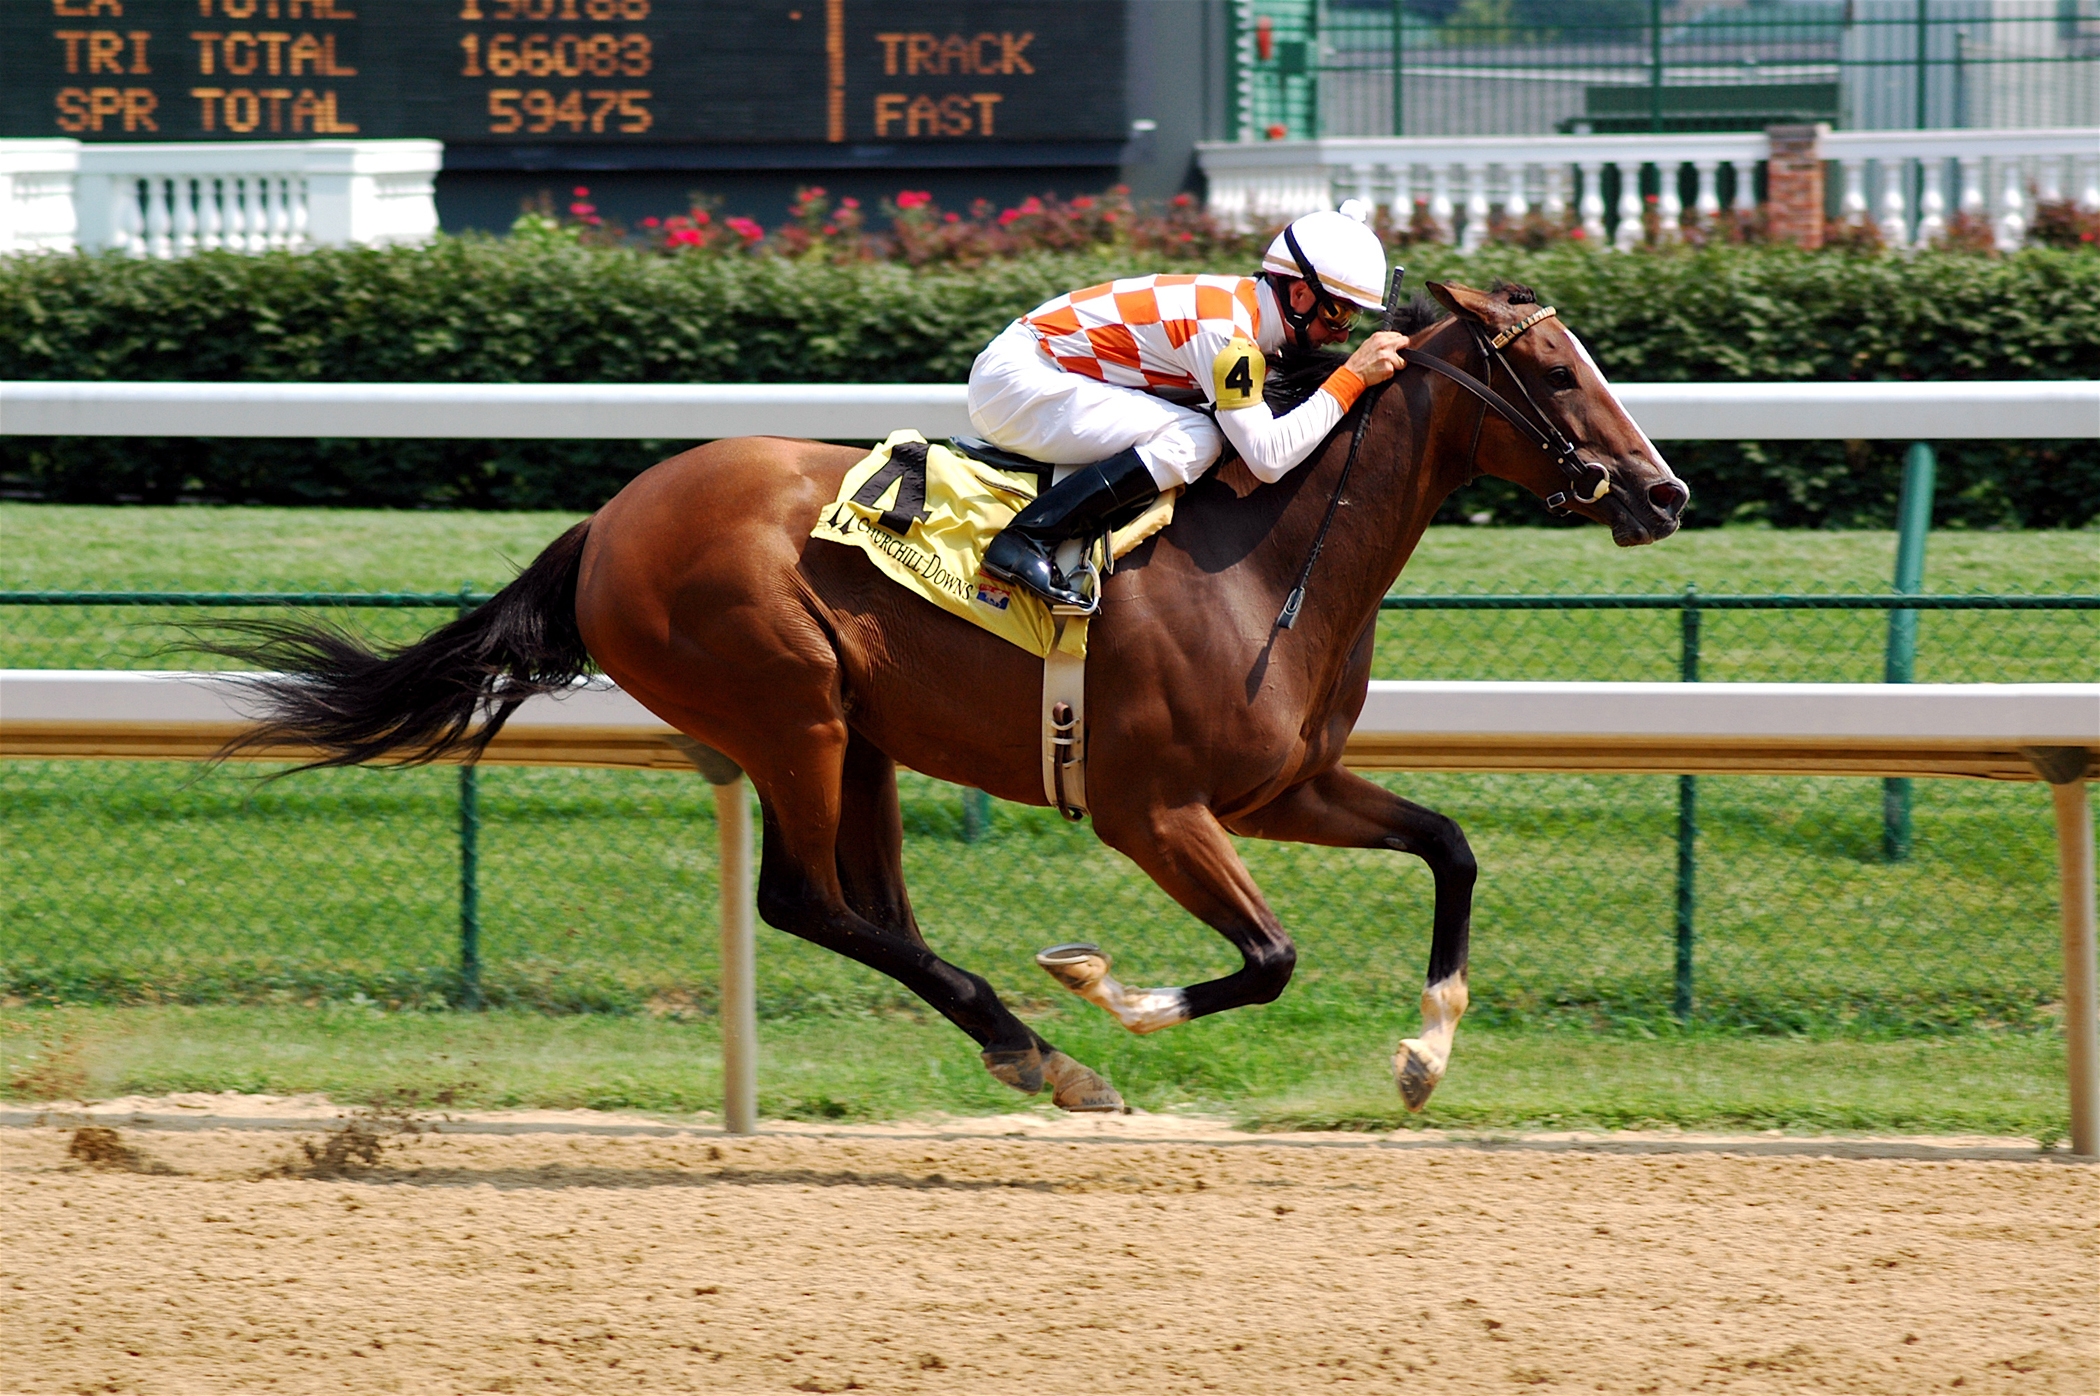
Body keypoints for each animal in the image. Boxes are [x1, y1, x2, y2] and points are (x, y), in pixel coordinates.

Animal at [225, 281, 1688, 1108]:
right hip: (790, 708)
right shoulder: (1155, 810)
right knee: (806, 900)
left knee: (871, 907)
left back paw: (1025, 1048)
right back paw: (1046, 1049)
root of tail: (609, 519)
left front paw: (1425, 1054)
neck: (1271, 553)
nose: (1665, 491)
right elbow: (1270, 958)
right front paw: (1109, 990)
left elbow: (1450, 847)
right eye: (1555, 370)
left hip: (859, 733)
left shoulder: (1283, 788)